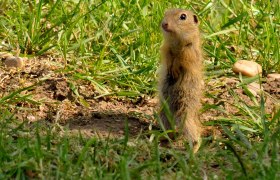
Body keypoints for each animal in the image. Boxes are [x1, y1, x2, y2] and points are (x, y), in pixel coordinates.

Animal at [158, 8, 203, 150]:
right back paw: (164, 137)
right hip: (164, 112)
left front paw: (175, 70)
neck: (176, 41)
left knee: (194, 133)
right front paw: (170, 69)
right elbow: (168, 56)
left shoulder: (189, 50)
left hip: (185, 111)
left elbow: (181, 59)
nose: (164, 24)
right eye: (165, 13)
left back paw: (194, 148)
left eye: (183, 17)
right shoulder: (166, 47)